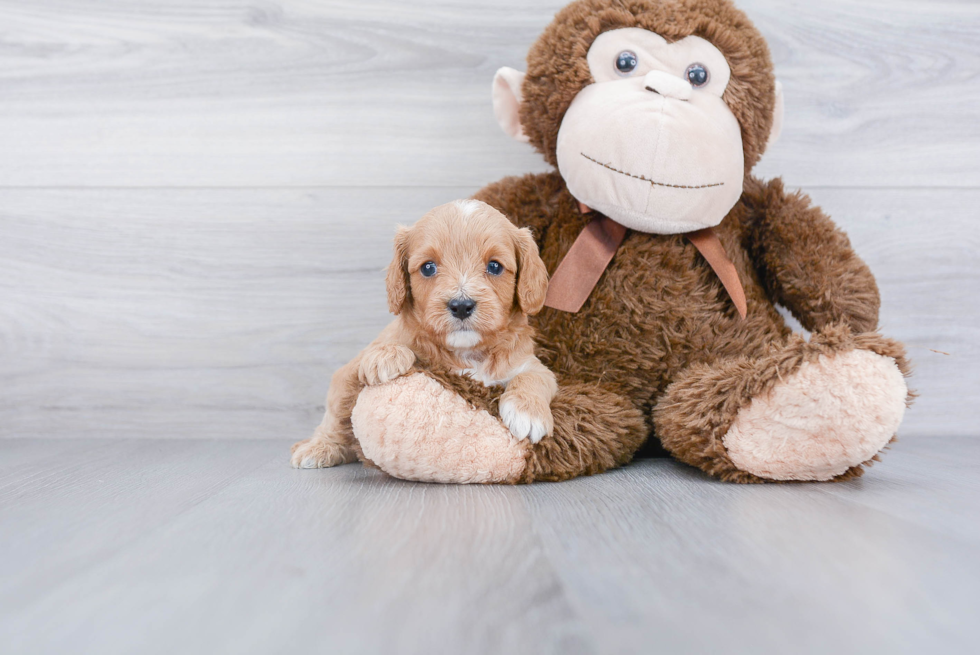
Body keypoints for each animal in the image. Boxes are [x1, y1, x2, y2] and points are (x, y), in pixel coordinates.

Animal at [288, 197, 556, 468]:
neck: (467, 352)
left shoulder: (528, 364)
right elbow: (381, 355)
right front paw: (385, 357)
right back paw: (317, 447)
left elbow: (535, 377)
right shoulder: (354, 368)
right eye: (428, 268)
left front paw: (527, 413)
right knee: (334, 420)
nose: (461, 305)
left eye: (494, 266)